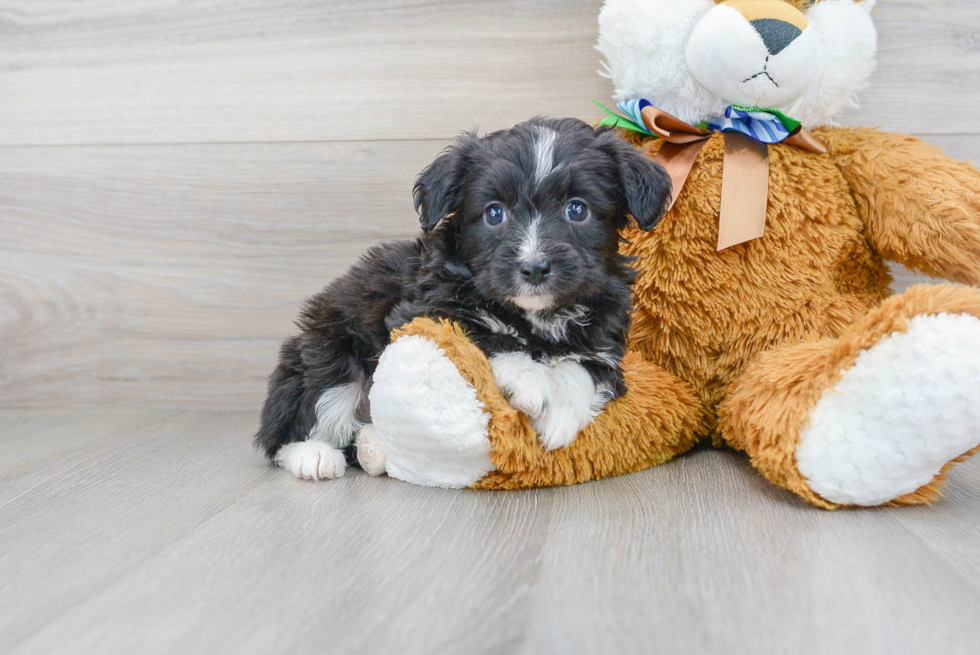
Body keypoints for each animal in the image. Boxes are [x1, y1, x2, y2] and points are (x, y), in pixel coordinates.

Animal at [255, 118, 672, 480]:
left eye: (577, 209)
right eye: (494, 214)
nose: (535, 267)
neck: (535, 317)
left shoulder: (605, 342)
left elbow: (582, 368)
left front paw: (562, 413)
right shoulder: (422, 311)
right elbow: (484, 334)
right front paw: (532, 381)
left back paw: (374, 449)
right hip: (327, 352)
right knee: (289, 429)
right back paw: (314, 455)